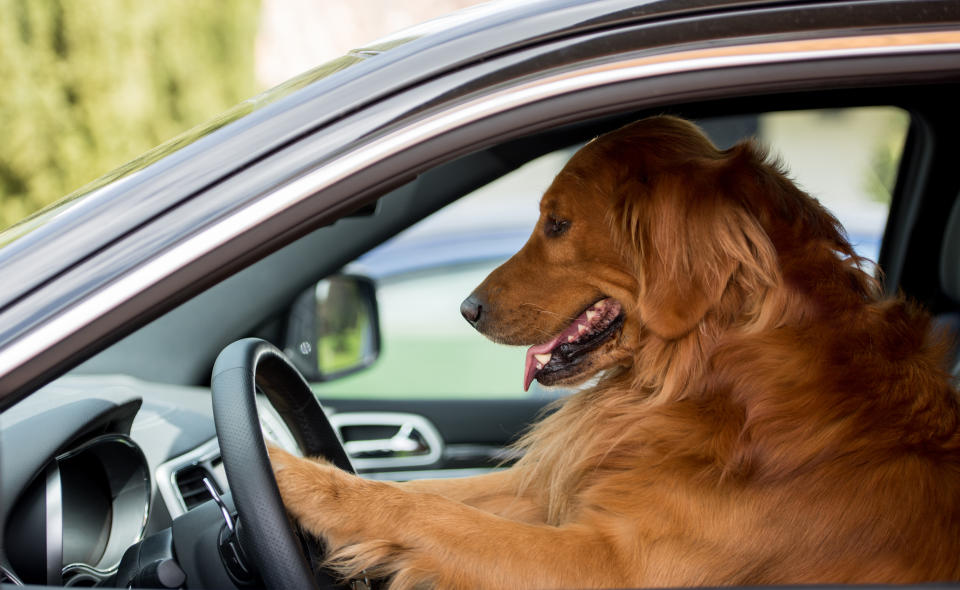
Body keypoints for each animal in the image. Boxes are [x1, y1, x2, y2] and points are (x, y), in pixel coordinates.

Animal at [268, 117, 960, 590]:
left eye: (557, 224)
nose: (467, 308)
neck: (715, 369)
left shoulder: (610, 564)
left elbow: (428, 511)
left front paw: (280, 471)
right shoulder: (569, 485)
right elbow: (423, 491)